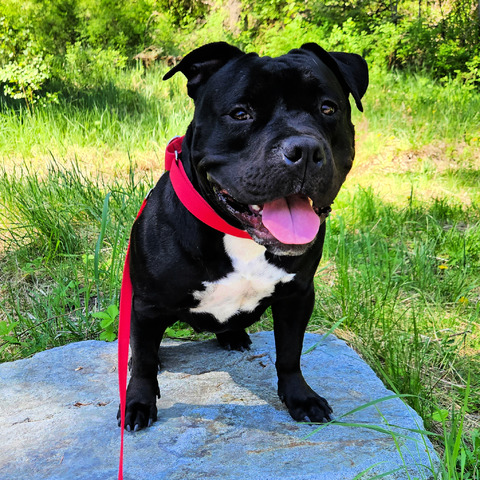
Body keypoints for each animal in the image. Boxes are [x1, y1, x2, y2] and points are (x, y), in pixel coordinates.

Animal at [120, 41, 368, 432]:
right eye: (240, 114)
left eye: (328, 109)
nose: (304, 150)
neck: (241, 236)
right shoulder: (147, 305)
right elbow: (143, 363)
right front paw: (138, 403)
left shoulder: (298, 296)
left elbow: (290, 354)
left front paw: (300, 397)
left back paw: (233, 335)